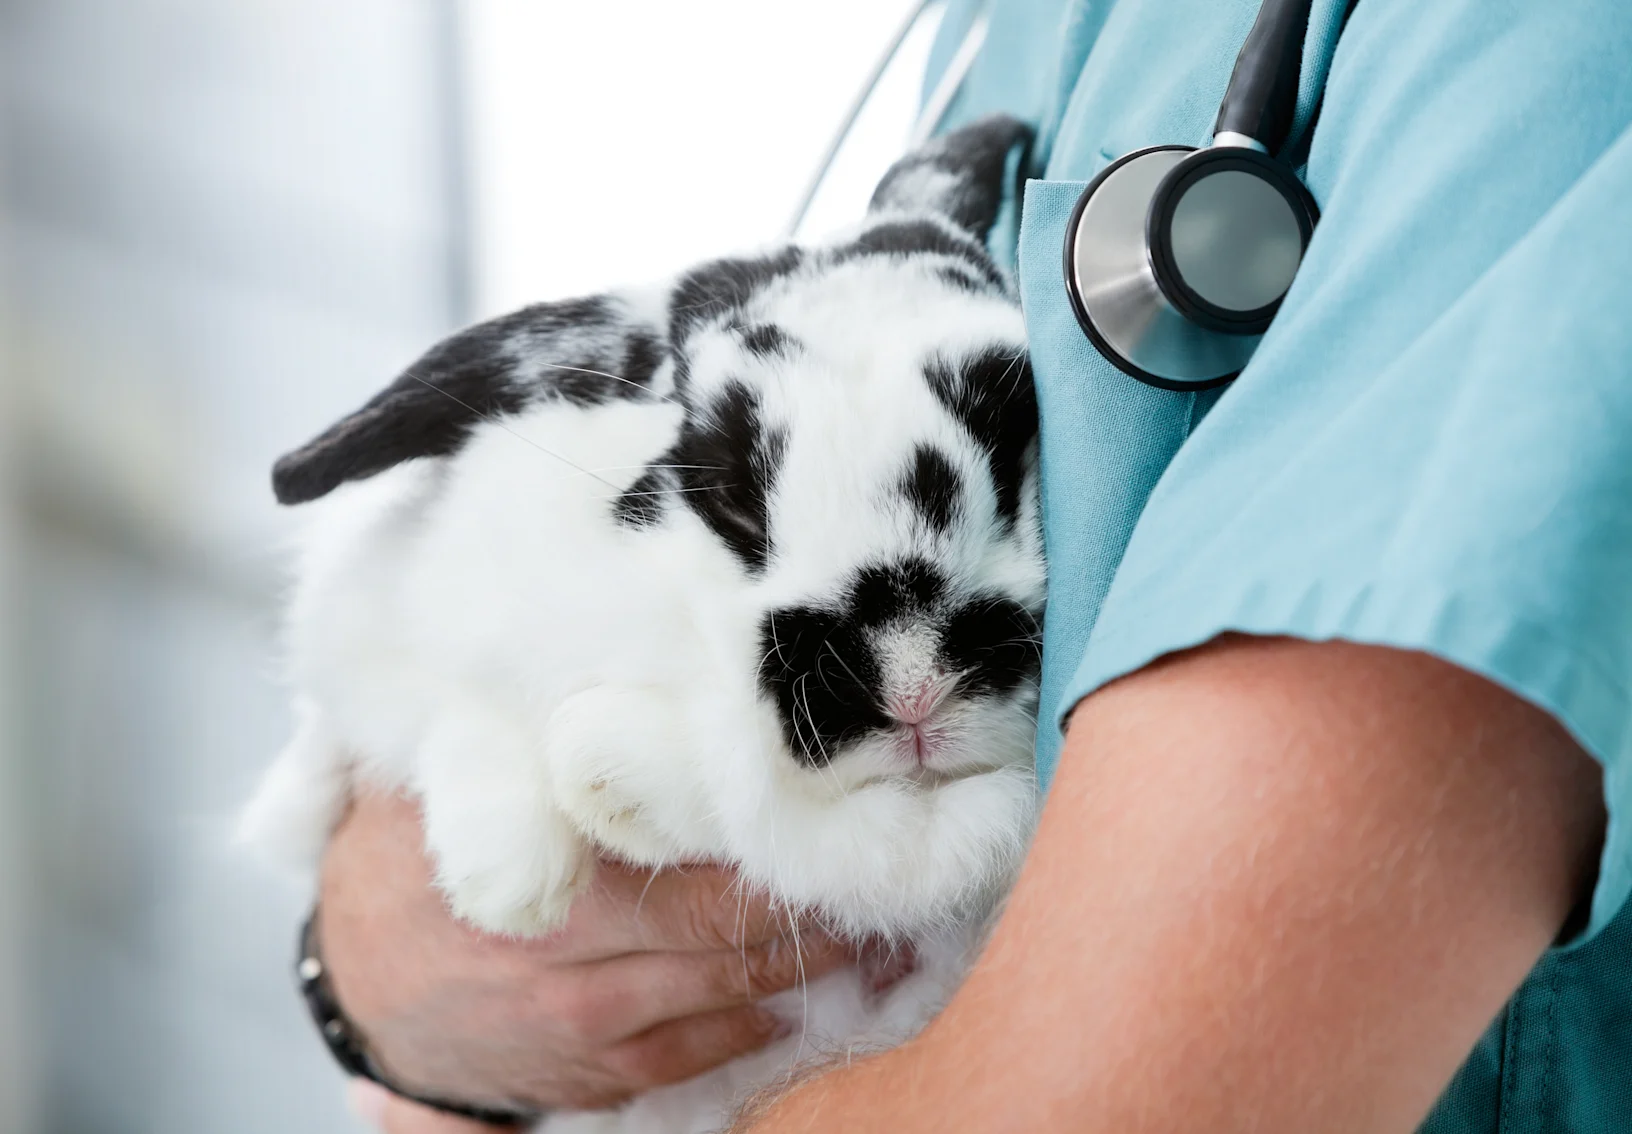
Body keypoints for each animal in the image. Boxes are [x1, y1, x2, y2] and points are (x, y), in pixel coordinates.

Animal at [241, 115, 1045, 1132]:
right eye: (726, 492)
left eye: (1017, 446)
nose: (912, 680)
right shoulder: (374, 624)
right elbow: (447, 706)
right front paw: (510, 884)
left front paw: (612, 778)